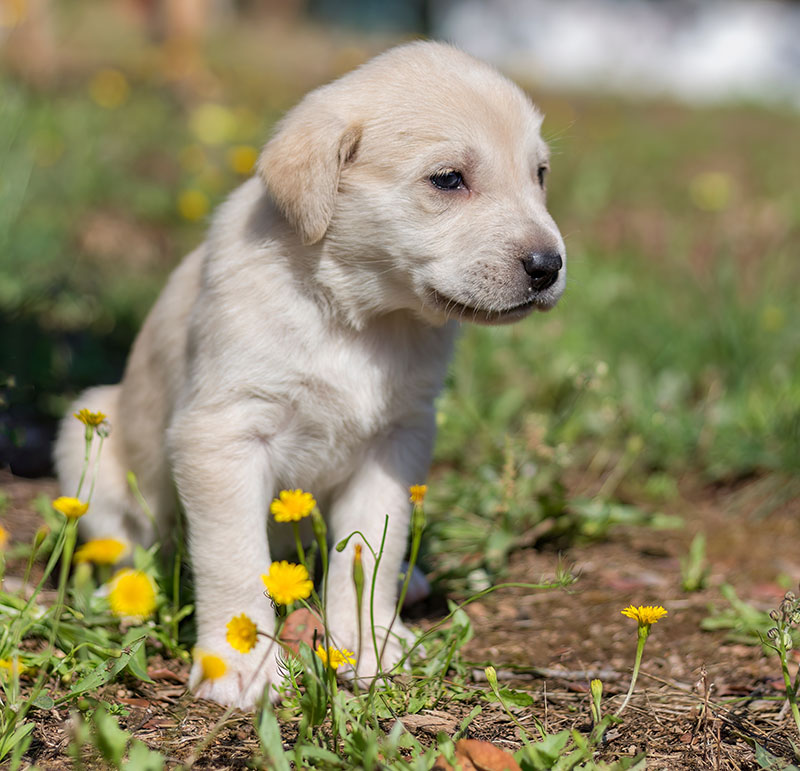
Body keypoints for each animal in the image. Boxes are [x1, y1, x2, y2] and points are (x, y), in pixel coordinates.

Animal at [53, 39, 564, 708]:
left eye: (540, 174)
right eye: (449, 179)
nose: (549, 266)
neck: (357, 318)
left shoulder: (396, 442)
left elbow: (370, 554)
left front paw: (369, 644)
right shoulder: (222, 435)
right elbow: (232, 557)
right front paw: (238, 662)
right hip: (83, 431)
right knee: (130, 541)